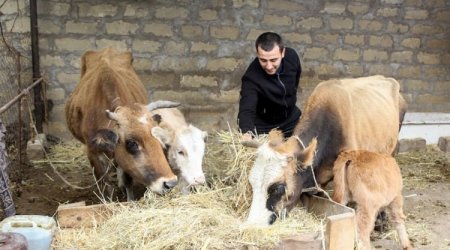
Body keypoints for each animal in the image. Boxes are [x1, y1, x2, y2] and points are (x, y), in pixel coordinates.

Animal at [65, 47, 178, 201]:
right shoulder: (92, 153)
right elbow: (104, 184)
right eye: (132, 143)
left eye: (157, 138)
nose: (170, 183)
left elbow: (127, 181)